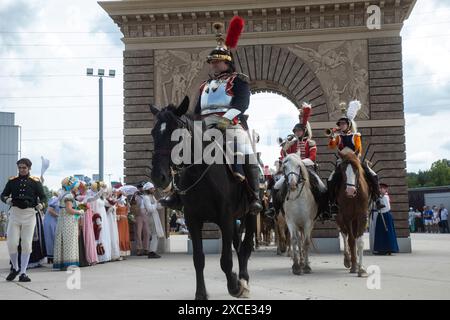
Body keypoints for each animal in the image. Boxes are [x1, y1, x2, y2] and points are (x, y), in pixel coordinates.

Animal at [151, 97, 256, 300]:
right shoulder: (193, 219)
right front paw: (201, 293)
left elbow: (225, 260)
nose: (159, 177)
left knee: (246, 247)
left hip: (250, 214)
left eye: (177, 133)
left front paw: (234, 286)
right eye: (153, 133)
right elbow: (198, 258)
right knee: (239, 247)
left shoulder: (225, 217)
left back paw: (244, 281)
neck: (200, 172)